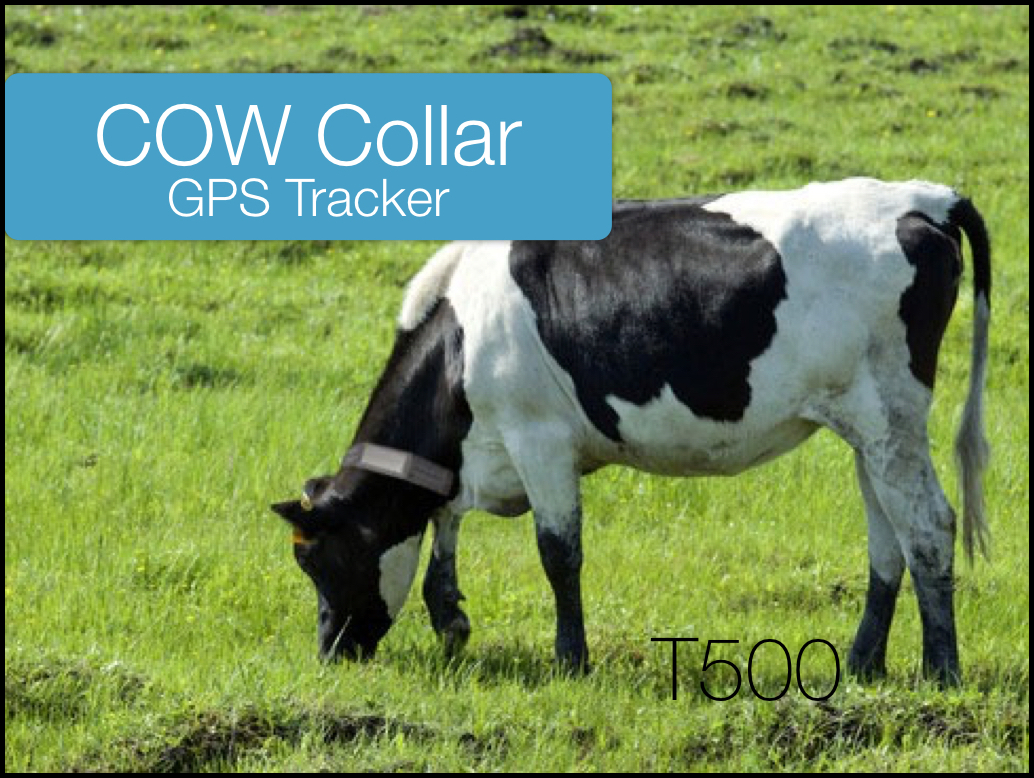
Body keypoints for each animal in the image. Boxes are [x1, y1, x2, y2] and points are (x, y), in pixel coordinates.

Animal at [271, 177, 991, 685]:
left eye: (315, 556)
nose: (329, 652)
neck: (459, 341)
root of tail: (923, 199)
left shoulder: (539, 439)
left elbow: (559, 553)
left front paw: (570, 661)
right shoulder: (478, 458)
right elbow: (442, 532)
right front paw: (451, 620)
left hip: (889, 416)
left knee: (928, 526)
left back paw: (941, 671)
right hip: (869, 428)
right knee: (888, 538)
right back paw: (865, 664)